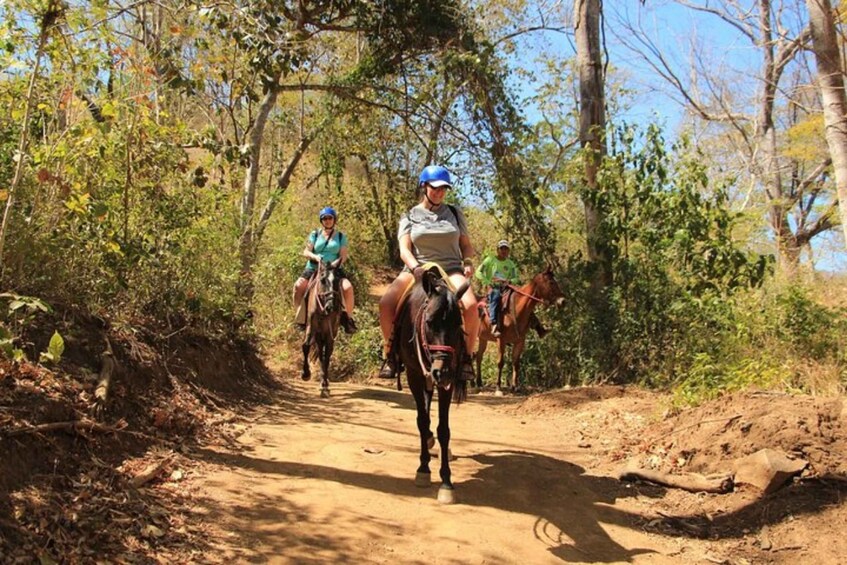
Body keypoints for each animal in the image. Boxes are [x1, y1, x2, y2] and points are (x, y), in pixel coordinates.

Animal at [302, 262, 342, 396]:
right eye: (323, 280)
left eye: (337, 280)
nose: (331, 307)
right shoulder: (311, 327)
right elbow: (306, 346)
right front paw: (305, 374)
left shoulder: (330, 332)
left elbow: (328, 355)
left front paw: (324, 384)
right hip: (319, 335)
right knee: (320, 353)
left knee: (325, 354)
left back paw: (324, 381)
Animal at [390, 266, 470, 504]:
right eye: (429, 322)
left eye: (458, 324)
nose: (441, 371)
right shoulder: (415, 376)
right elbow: (422, 421)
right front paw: (423, 469)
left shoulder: (447, 383)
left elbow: (443, 429)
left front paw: (446, 482)